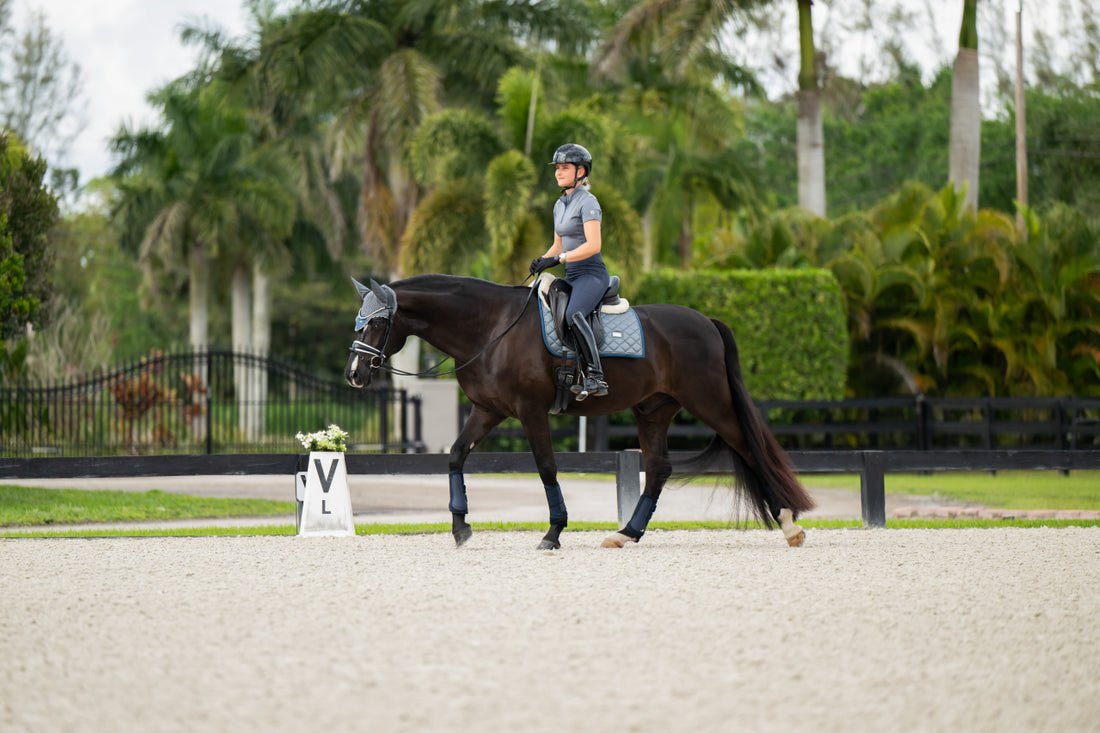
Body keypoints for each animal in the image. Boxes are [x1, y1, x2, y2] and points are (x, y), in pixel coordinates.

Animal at [345, 274, 818, 548]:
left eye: (376, 323)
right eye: (358, 321)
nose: (354, 374)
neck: (492, 328)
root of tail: (707, 322)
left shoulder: (529, 410)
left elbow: (547, 467)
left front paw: (554, 532)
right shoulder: (488, 410)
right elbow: (456, 455)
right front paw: (461, 527)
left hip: (710, 402)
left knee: (750, 449)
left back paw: (789, 524)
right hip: (653, 411)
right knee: (659, 468)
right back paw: (627, 534)